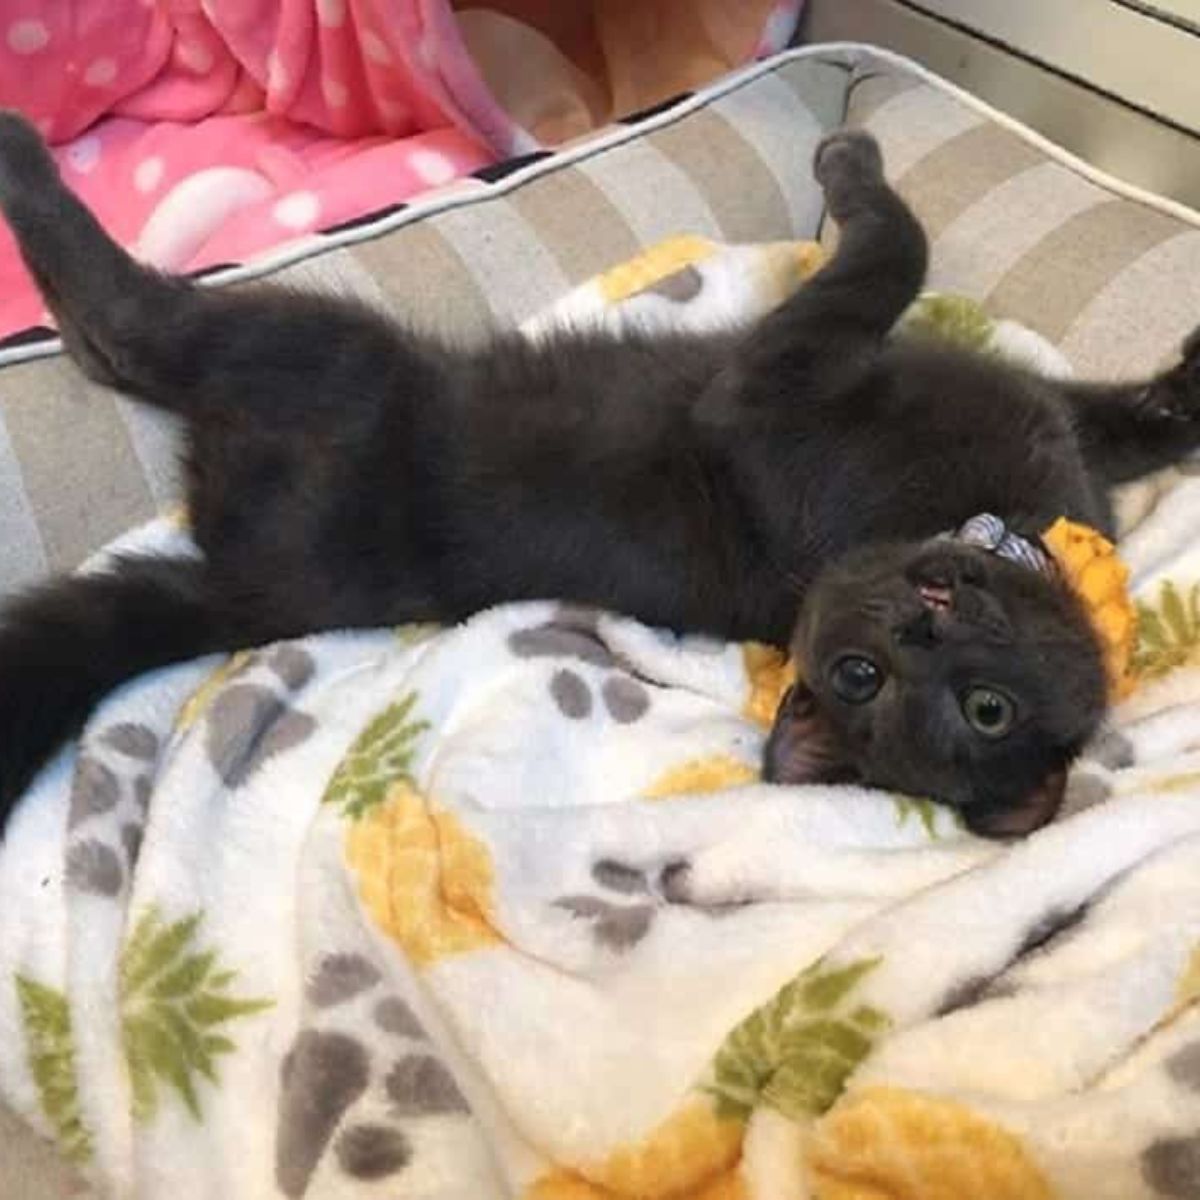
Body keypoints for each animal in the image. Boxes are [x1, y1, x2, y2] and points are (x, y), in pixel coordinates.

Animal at [2, 117, 1200, 840]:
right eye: (866, 675)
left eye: (980, 708)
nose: (924, 622)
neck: (996, 514)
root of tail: (248, 589)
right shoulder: (1012, 414)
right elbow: (1084, 399)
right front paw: (1183, 388)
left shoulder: (769, 381)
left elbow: (893, 247)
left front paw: (849, 159)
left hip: (319, 350)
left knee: (125, 330)